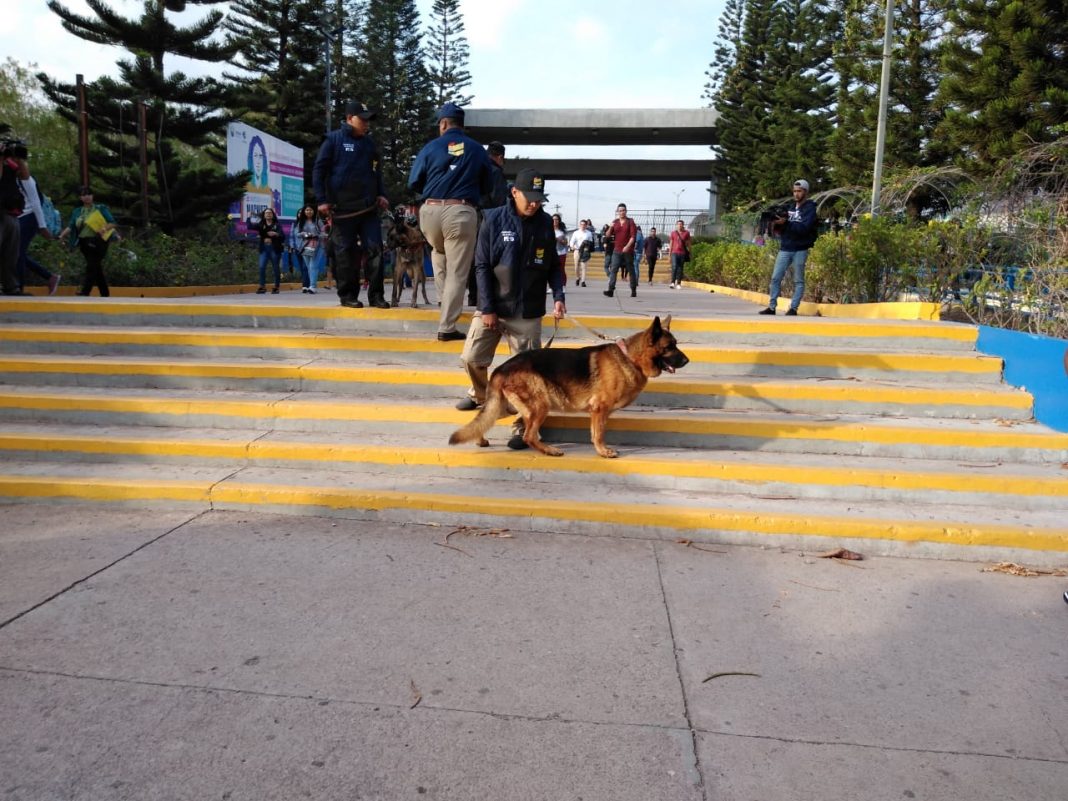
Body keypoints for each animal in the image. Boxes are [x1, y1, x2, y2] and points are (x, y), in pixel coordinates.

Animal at [446, 318, 687, 461]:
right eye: (669, 347)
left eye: (676, 344)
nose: (687, 360)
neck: (631, 358)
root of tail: (501, 368)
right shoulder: (599, 409)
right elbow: (599, 434)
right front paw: (603, 452)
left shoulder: (599, 412)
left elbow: (596, 432)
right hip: (540, 405)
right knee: (529, 436)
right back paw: (549, 450)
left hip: (508, 406)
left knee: (485, 418)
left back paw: (480, 440)